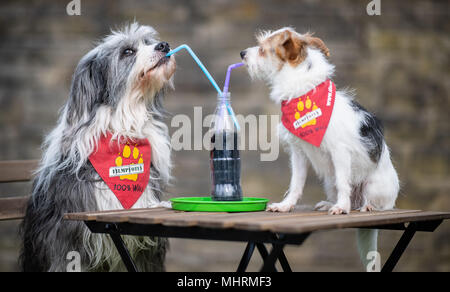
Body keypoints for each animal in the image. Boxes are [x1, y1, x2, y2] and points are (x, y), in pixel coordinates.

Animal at [20, 24, 177, 272]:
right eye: (127, 52)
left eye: (148, 41)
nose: (164, 45)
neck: (123, 129)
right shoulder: (66, 245)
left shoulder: (145, 250)